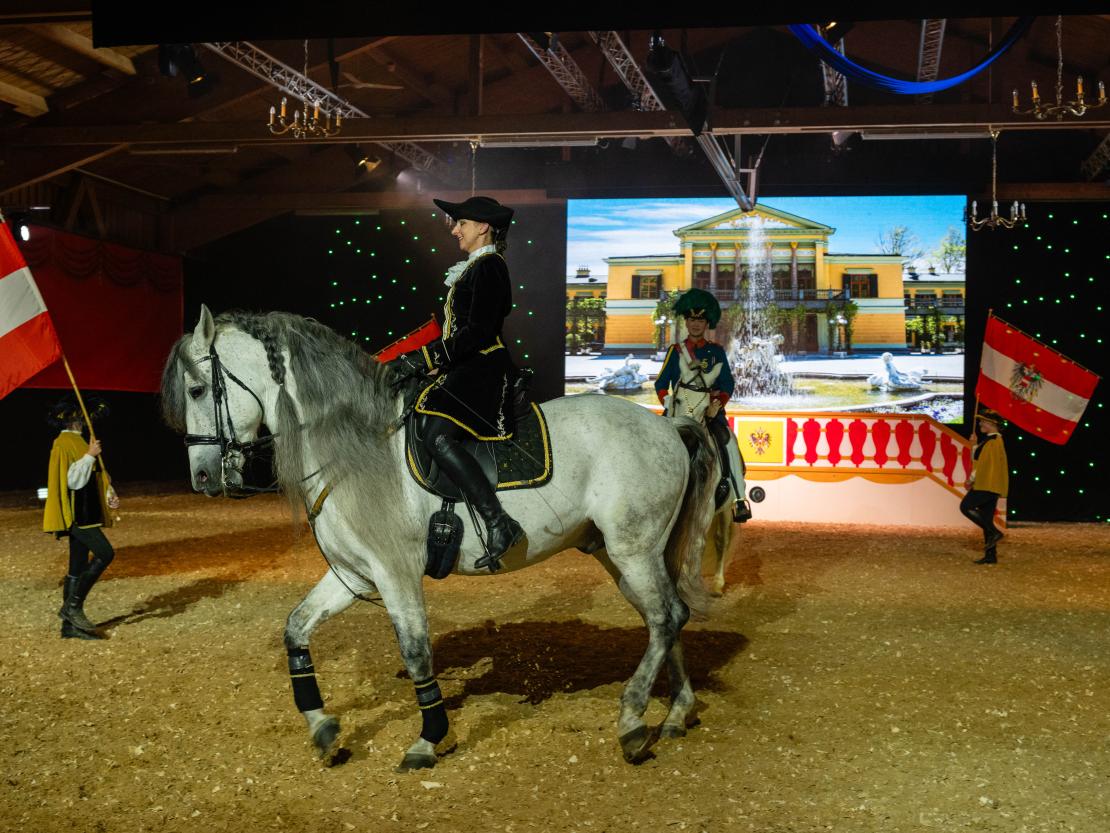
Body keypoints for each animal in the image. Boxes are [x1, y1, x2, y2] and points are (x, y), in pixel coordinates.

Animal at [161, 306, 718, 771]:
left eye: (197, 391)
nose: (203, 478)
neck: (354, 450)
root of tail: (669, 427)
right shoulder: (351, 575)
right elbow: (295, 629)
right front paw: (323, 728)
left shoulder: (395, 573)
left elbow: (415, 652)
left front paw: (429, 738)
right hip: (620, 555)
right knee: (668, 617)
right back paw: (675, 714)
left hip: (633, 550)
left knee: (664, 618)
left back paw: (632, 721)